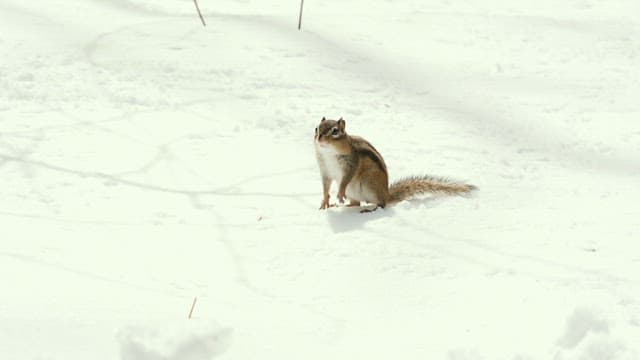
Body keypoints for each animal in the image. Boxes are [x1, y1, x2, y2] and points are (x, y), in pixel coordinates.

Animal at [316, 118, 476, 212]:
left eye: (335, 131)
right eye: (317, 128)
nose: (319, 139)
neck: (328, 153)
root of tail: (386, 194)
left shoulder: (351, 164)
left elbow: (345, 180)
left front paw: (340, 193)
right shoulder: (324, 169)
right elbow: (325, 186)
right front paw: (325, 202)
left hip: (369, 185)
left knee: (381, 204)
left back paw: (370, 209)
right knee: (356, 203)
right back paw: (342, 206)